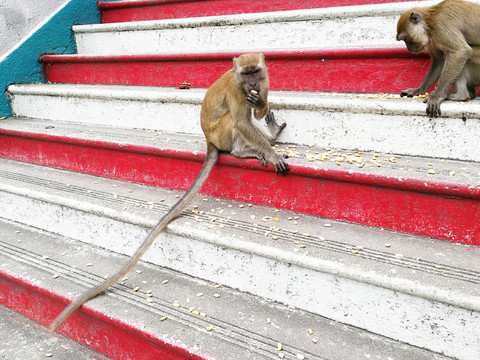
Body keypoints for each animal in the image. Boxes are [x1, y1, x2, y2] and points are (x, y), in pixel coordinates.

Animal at [47, 52, 288, 334]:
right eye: (245, 73)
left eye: (255, 71)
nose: (251, 83)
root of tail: (209, 140)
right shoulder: (236, 92)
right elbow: (241, 120)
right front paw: (272, 154)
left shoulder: (265, 82)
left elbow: (257, 108)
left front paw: (261, 106)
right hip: (221, 134)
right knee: (237, 121)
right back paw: (248, 151)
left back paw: (270, 138)